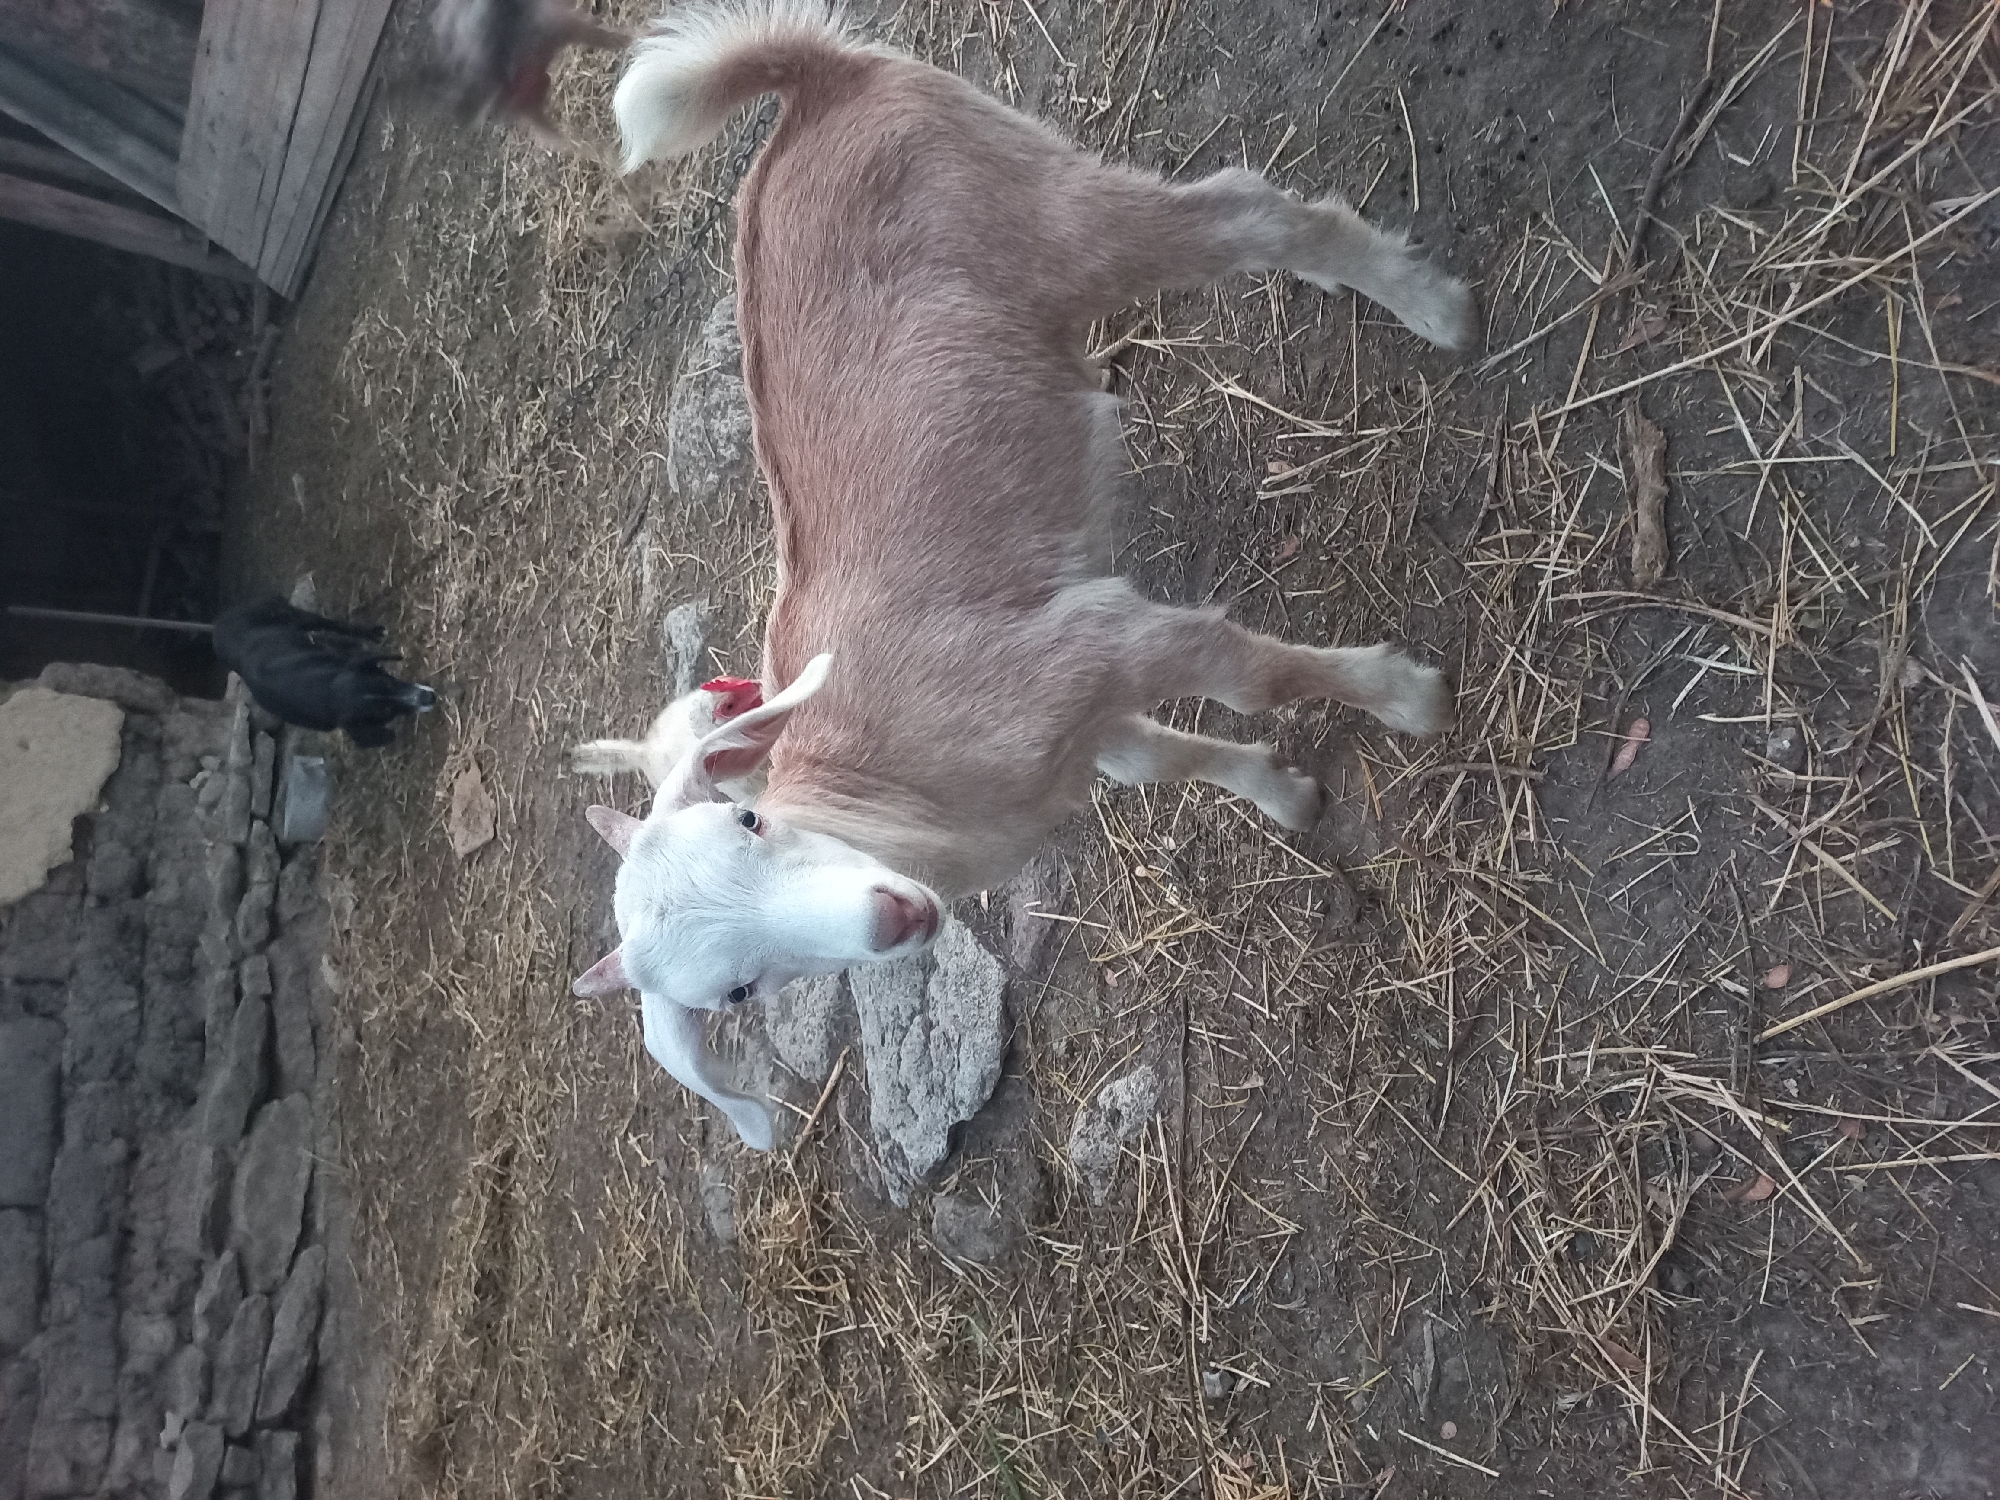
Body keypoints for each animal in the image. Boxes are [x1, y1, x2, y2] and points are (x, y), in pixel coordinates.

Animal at [212, 597, 437, 749]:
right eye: (386, 712)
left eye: (388, 681)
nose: (429, 697)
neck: (326, 692)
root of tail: (218, 622)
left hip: (298, 617)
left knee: (332, 625)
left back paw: (372, 634)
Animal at [576, 0, 1473, 1149]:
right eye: (736, 990)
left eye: (752, 823)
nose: (890, 916)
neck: (907, 796)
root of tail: (810, 86)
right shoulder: (1078, 701)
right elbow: (1159, 759)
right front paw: (1285, 794)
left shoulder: (1093, 640)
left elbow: (1246, 676)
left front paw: (1409, 700)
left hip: (1036, 208)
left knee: (1238, 209)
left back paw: (1431, 305)